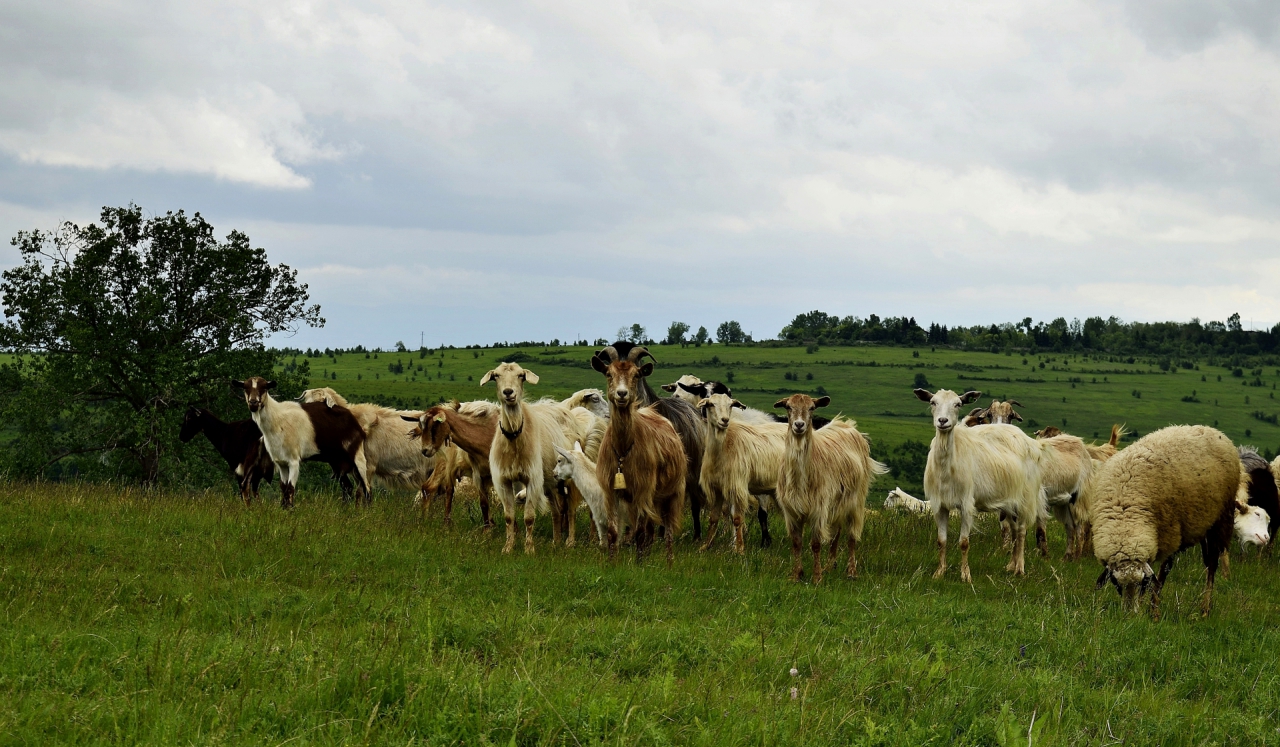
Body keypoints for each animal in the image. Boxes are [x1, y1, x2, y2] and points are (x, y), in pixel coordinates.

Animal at [691, 393, 788, 552]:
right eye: (710, 404)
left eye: (731, 405)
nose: (725, 420)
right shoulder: (717, 488)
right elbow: (713, 518)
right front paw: (706, 546)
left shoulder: (737, 486)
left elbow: (737, 519)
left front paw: (739, 549)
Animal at [768, 393, 890, 580]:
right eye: (788, 407)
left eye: (812, 408)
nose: (799, 425)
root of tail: (847, 425)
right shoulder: (791, 511)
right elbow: (796, 543)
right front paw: (796, 575)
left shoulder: (819, 508)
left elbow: (816, 543)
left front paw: (817, 577)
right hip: (837, 503)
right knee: (836, 534)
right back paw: (830, 566)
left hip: (856, 501)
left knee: (851, 537)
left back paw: (851, 572)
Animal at [911, 388, 1049, 585]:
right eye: (933, 402)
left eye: (958, 404)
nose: (943, 421)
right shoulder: (939, 505)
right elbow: (941, 541)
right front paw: (939, 572)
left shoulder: (967, 504)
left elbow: (964, 542)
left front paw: (965, 575)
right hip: (1009, 501)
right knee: (1014, 530)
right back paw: (1011, 566)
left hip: (1026, 496)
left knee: (1022, 531)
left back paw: (1020, 569)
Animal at [1085, 427, 1244, 619]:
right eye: (1116, 583)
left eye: (1143, 582)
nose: (1129, 615)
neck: (1126, 513)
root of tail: (1213, 430)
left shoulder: (1171, 534)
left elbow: (1162, 574)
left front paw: (1153, 611)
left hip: (1220, 520)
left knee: (1212, 565)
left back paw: (1205, 609)